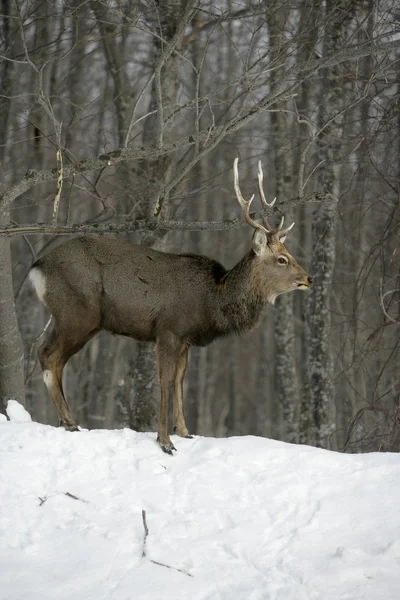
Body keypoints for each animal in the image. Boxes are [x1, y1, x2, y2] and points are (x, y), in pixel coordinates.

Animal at [30, 157, 312, 452]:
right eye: (282, 259)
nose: (308, 278)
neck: (211, 300)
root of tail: (38, 267)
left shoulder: (186, 338)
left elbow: (179, 381)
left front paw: (185, 432)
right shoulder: (168, 329)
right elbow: (164, 380)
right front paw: (165, 441)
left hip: (81, 321)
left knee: (55, 360)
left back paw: (67, 421)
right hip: (76, 313)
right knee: (47, 354)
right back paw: (70, 421)